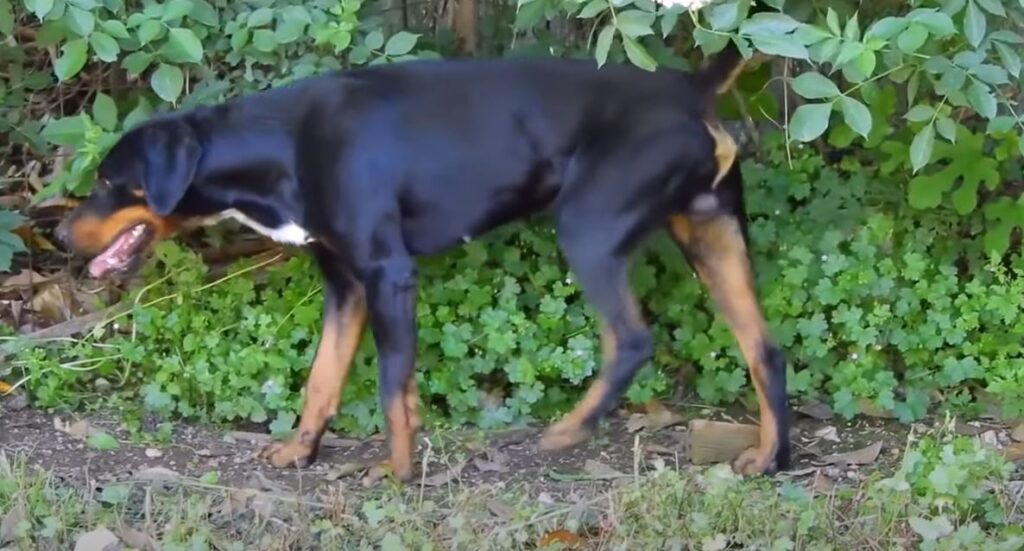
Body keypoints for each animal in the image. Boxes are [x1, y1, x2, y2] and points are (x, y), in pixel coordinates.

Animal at [56, 43, 790, 477]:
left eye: (112, 181)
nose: (60, 234)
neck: (280, 148)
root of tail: (689, 89)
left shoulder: (388, 274)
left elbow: (390, 387)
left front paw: (398, 471)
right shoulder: (345, 284)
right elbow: (322, 380)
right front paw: (300, 450)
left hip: (589, 227)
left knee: (631, 340)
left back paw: (567, 432)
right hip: (713, 235)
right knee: (765, 347)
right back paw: (771, 459)